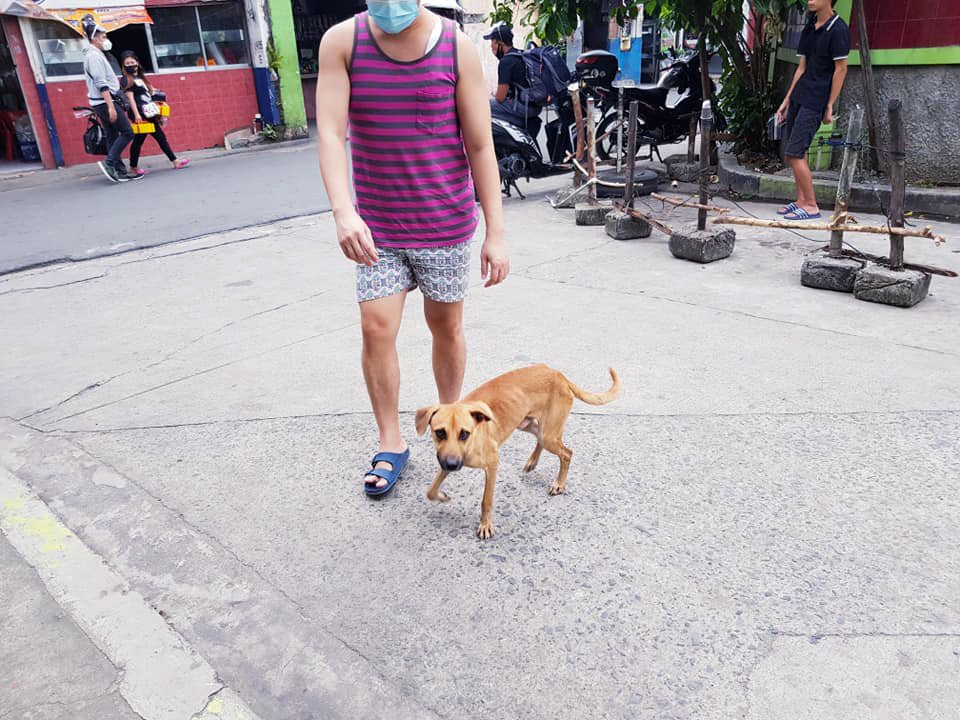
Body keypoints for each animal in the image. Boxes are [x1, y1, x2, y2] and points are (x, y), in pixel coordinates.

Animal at [414, 366, 624, 540]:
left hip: (548, 434)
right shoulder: (446, 458)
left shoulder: (492, 464)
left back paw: (559, 484)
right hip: (530, 425)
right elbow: (430, 490)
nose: (451, 465)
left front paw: (485, 525)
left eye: (464, 434)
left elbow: (486, 500)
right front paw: (442, 496)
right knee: (542, 442)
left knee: (567, 453)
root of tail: (558, 374)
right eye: (440, 432)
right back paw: (532, 462)